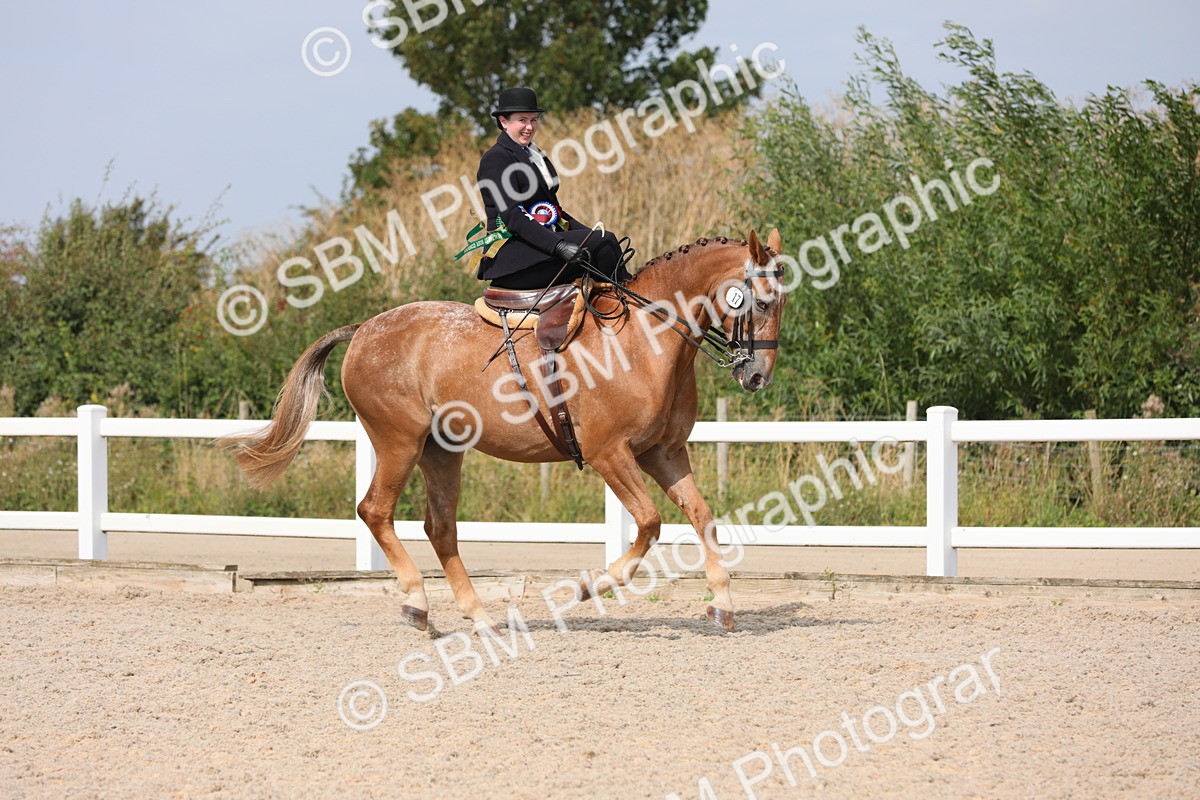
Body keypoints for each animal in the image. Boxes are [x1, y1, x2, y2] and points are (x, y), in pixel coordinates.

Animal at [224, 228, 787, 634]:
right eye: (760, 302)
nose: (758, 377)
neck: (644, 340)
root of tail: (363, 329)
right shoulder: (610, 454)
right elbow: (649, 524)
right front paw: (587, 588)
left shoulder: (663, 453)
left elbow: (703, 517)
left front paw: (722, 603)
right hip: (398, 441)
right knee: (376, 511)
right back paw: (417, 603)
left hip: (441, 450)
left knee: (440, 528)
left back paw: (479, 617)